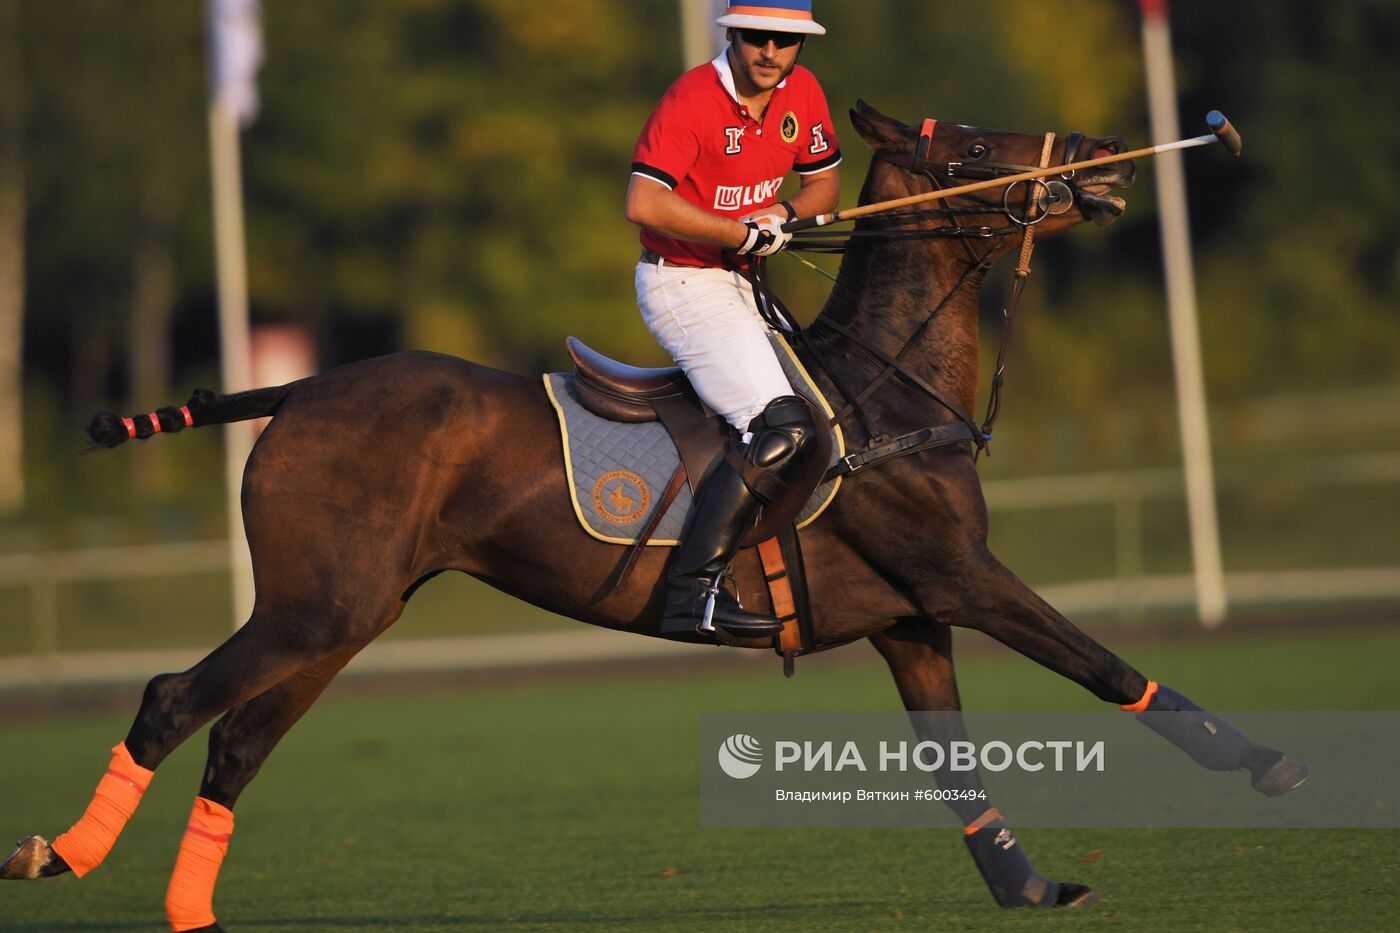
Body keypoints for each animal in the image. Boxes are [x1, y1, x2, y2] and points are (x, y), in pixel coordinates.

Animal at [5, 103, 1304, 924]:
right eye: (976, 145)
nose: (1107, 157)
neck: (886, 390)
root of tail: (296, 388)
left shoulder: (909, 618)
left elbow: (954, 763)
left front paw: (1026, 887)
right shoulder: (958, 576)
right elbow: (1104, 667)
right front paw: (1267, 765)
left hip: (346, 612)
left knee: (237, 741)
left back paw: (181, 908)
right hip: (313, 605)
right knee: (172, 700)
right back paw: (56, 853)